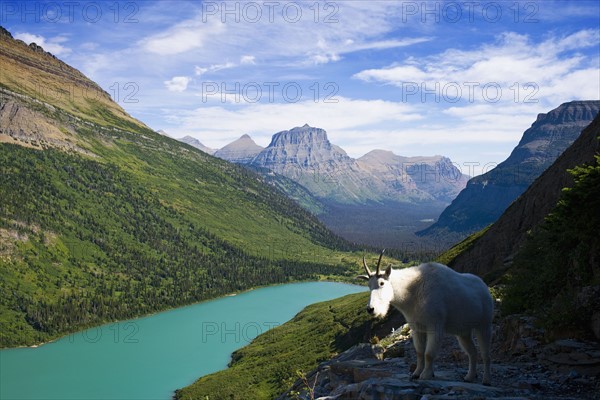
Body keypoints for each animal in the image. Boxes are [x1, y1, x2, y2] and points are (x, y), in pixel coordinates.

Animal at [358, 252, 494, 386]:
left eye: (382, 283)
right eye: (369, 285)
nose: (371, 309)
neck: (412, 290)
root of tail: (484, 288)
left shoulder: (435, 326)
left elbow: (428, 354)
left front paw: (426, 375)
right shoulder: (417, 328)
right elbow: (419, 352)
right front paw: (416, 373)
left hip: (484, 325)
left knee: (486, 354)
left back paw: (486, 380)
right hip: (463, 332)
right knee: (472, 352)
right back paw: (469, 377)